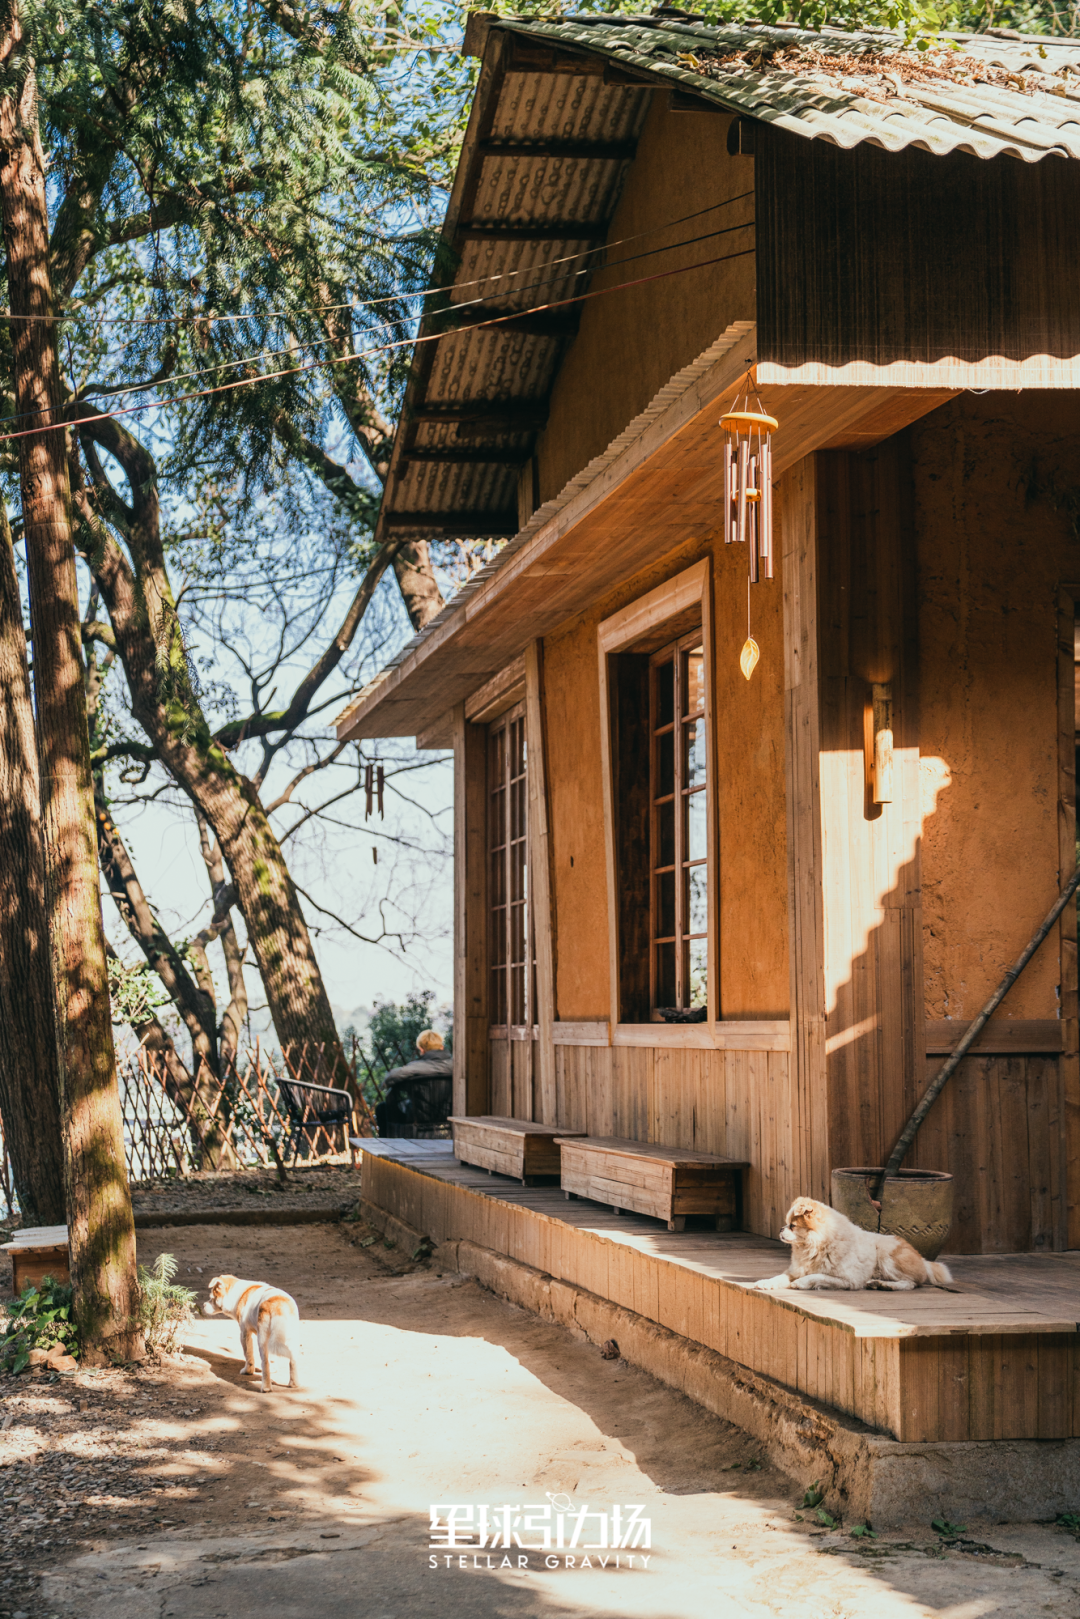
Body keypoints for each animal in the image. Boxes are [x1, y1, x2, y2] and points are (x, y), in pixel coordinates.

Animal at [751, 1198, 952, 1295]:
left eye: (792, 1226)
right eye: (787, 1224)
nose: (780, 1229)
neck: (815, 1247)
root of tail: (922, 1259)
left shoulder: (849, 1280)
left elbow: (818, 1275)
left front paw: (801, 1283)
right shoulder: (795, 1270)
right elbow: (779, 1277)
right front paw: (765, 1283)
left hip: (887, 1257)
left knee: (910, 1283)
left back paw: (886, 1286)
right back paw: (877, 1283)